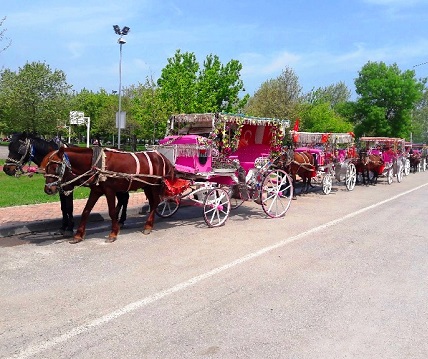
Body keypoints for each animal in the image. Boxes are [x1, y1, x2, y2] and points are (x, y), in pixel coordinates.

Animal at [38, 147, 176, 245]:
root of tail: (162, 157)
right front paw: (78, 235)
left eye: (55, 167)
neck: (97, 164)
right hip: (147, 186)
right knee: (152, 203)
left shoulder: (110, 190)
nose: (48, 189)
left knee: (155, 202)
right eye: (46, 168)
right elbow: (86, 211)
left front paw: (113, 233)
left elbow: (112, 211)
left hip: (155, 185)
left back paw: (148, 226)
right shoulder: (96, 191)